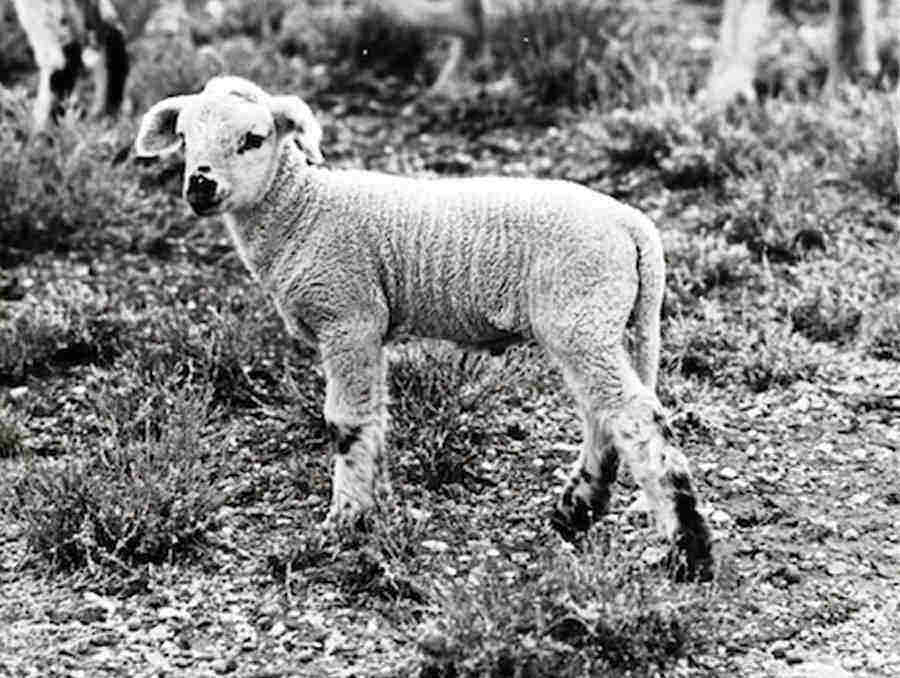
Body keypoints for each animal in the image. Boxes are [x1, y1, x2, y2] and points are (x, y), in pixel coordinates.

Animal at [134, 77, 712, 580]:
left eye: (253, 139)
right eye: (184, 138)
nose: (200, 185)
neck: (302, 211)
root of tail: (632, 225)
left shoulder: (348, 316)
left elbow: (346, 422)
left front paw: (344, 521)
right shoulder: (367, 329)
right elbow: (374, 420)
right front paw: (372, 503)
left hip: (580, 315)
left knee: (635, 416)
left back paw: (688, 550)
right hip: (593, 324)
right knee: (605, 414)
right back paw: (578, 509)